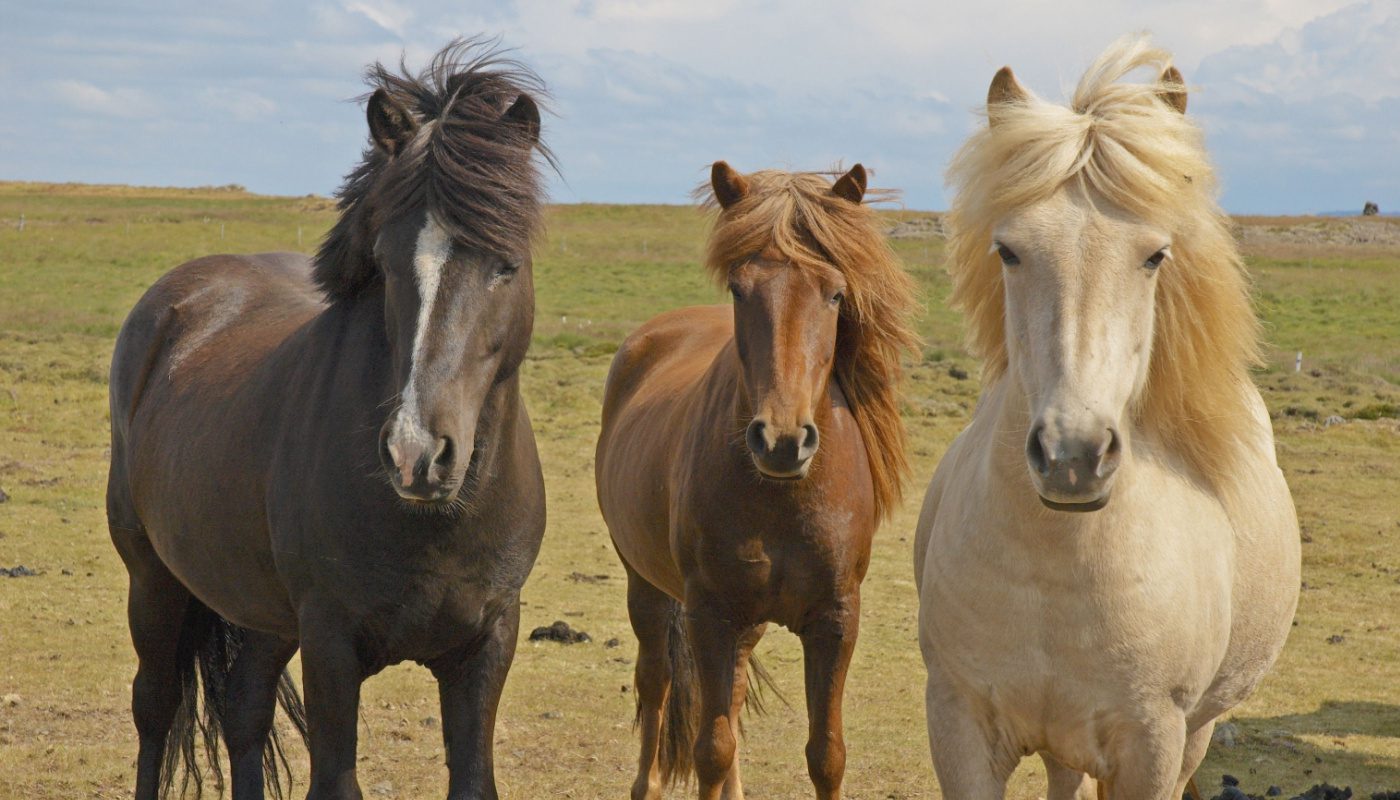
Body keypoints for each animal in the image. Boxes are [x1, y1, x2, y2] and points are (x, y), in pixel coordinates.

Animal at [106, 42, 551, 800]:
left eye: (506, 264)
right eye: (385, 263)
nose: (416, 455)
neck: (435, 522)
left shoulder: (488, 640)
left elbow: (472, 777)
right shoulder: (330, 642)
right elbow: (334, 776)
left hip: (261, 613)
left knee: (244, 710)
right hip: (155, 581)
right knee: (156, 709)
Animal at [599, 164, 918, 800]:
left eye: (836, 293)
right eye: (739, 290)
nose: (782, 440)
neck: (783, 496)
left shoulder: (835, 619)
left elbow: (827, 754)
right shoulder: (710, 614)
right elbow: (711, 747)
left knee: (735, 688)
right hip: (646, 586)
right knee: (656, 682)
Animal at [918, 37, 1299, 800]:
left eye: (1154, 255)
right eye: (1008, 250)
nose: (1073, 455)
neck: (1054, 566)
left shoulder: (1151, 745)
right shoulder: (959, 726)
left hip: (1195, 733)